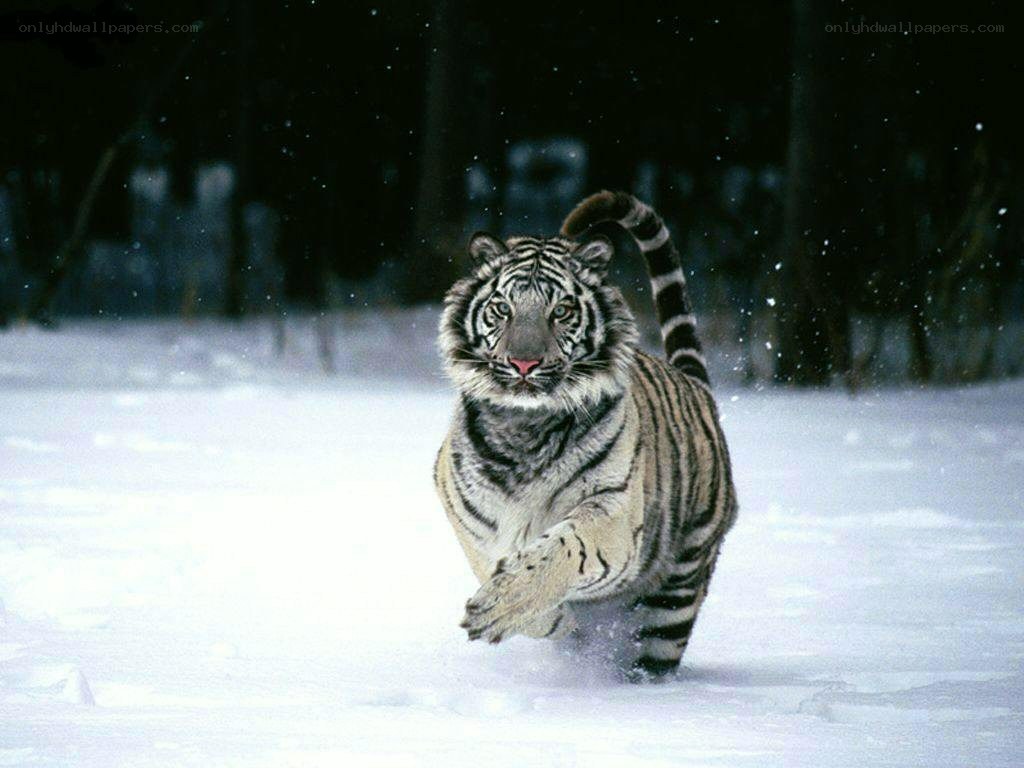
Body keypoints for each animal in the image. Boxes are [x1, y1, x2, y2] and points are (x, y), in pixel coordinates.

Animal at [434, 191, 737, 679]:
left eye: (560, 311)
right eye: (503, 309)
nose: (523, 363)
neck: (525, 427)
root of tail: (697, 386)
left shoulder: (614, 509)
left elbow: (561, 550)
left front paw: (503, 604)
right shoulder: (469, 516)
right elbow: (496, 567)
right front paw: (551, 621)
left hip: (676, 593)